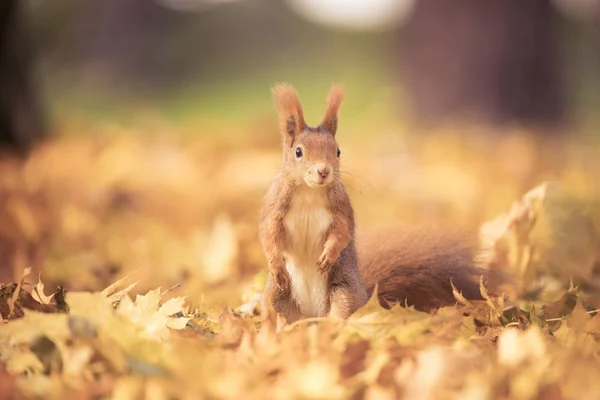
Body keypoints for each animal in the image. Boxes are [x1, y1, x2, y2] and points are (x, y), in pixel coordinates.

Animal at [258, 83, 506, 324]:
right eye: (298, 152)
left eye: (338, 151)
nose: (323, 171)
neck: (310, 191)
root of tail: (311, 316)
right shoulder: (275, 206)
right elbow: (268, 234)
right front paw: (276, 263)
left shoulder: (341, 207)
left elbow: (342, 231)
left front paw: (329, 254)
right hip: (276, 295)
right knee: (278, 311)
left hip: (343, 288)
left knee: (343, 312)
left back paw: (332, 325)